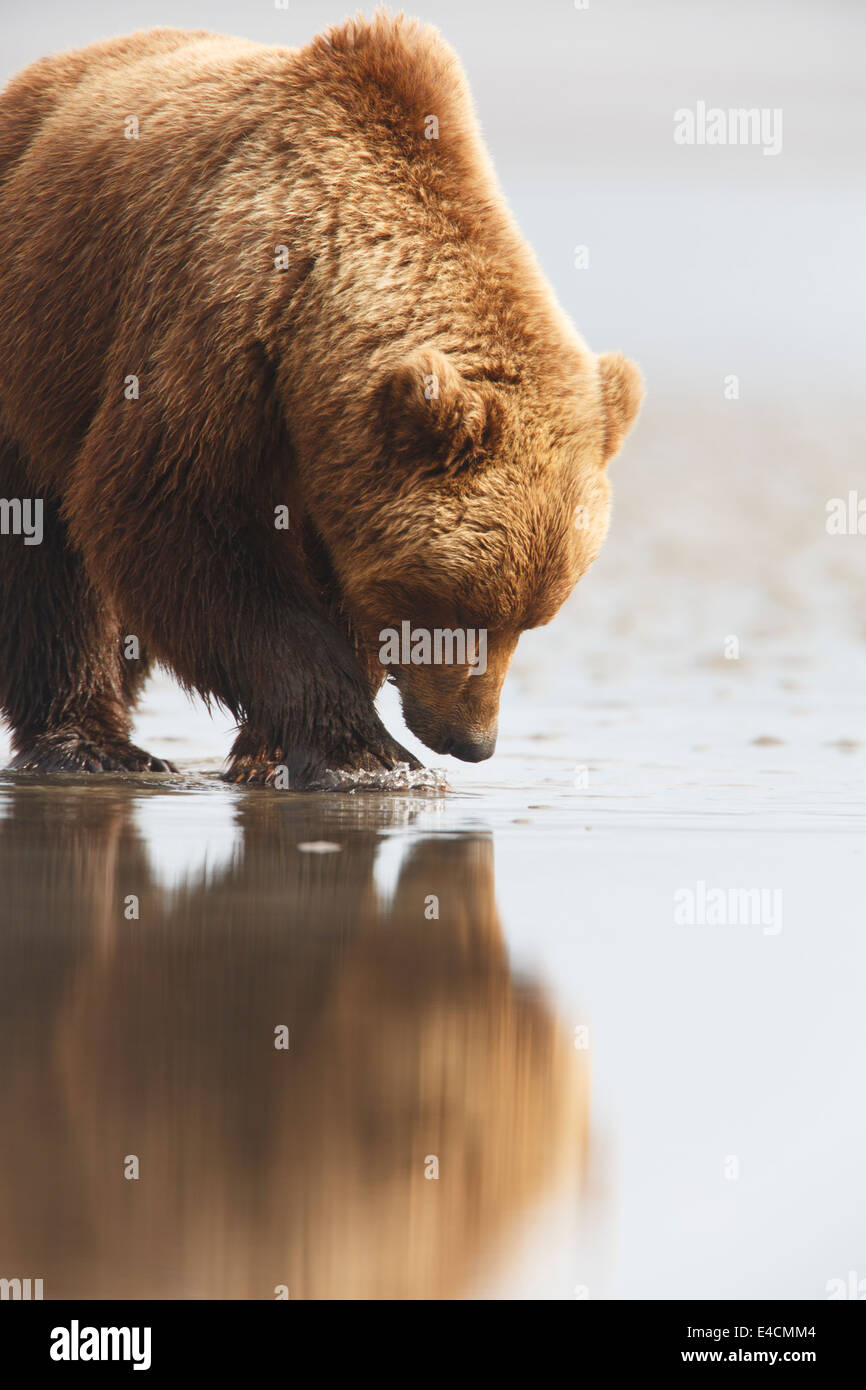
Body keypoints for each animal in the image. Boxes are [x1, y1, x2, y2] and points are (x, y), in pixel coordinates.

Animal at [0, 10, 644, 789]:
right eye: (455, 602)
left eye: (534, 617)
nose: (474, 740)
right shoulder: (220, 336)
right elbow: (171, 518)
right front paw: (363, 754)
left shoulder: (335, 457)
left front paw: (274, 750)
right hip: (41, 348)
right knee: (47, 556)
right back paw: (91, 742)